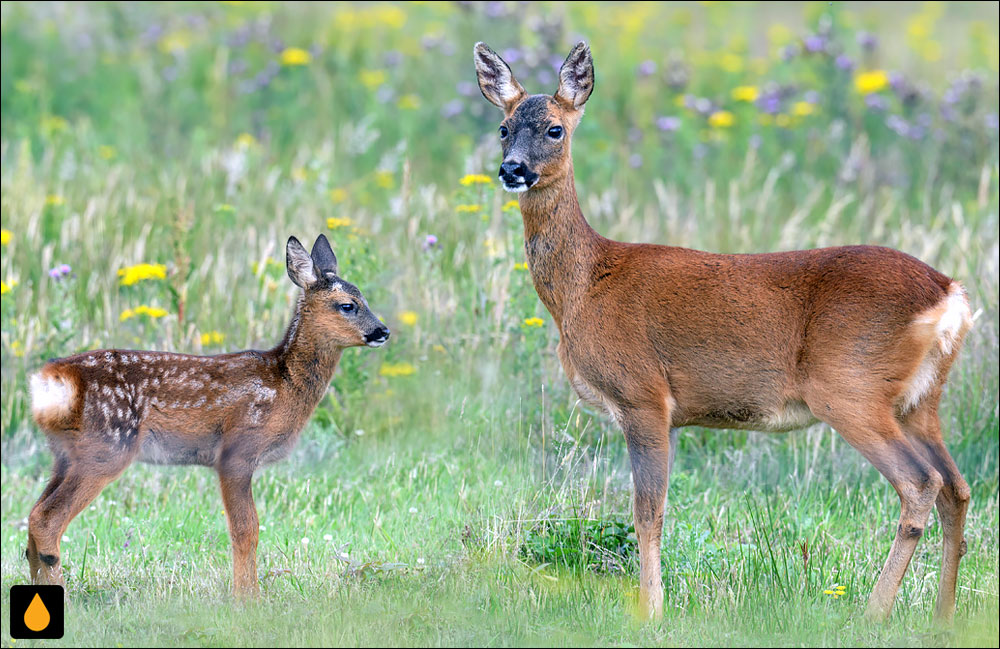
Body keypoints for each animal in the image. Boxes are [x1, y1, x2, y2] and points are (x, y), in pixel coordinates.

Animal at [27, 235, 386, 596]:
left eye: (365, 299)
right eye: (348, 305)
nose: (383, 331)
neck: (283, 382)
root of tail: (51, 380)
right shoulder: (237, 451)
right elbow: (246, 529)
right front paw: (247, 599)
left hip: (65, 454)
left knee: (32, 517)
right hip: (105, 447)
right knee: (46, 519)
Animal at [472, 41, 972, 624]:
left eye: (555, 129)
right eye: (503, 127)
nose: (512, 169)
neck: (584, 287)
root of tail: (951, 294)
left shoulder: (643, 394)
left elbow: (648, 513)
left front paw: (651, 611)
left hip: (850, 386)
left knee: (921, 483)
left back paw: (873, 613)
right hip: (919, 400)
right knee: (956, 488)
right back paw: (943, 616)